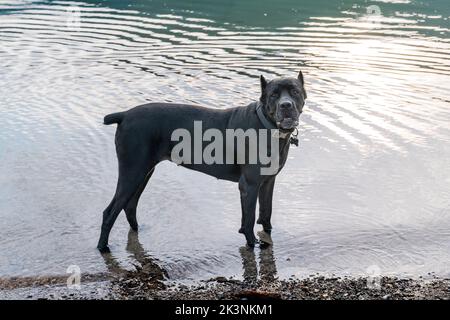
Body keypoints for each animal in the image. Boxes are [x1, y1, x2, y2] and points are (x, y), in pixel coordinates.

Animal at [97, 70, 308, 252]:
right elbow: (249, 219)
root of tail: (124, 115)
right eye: (274, 95)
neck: (268, 127)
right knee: (109, 212)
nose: (286, 105)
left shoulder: (268, 181)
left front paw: (266, 236)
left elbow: (266, 212)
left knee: (130, 205)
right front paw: (252, 244)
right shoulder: (250, 185)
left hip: (143, 172)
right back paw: (103, 248)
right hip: (132, 172)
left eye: (295, 92)